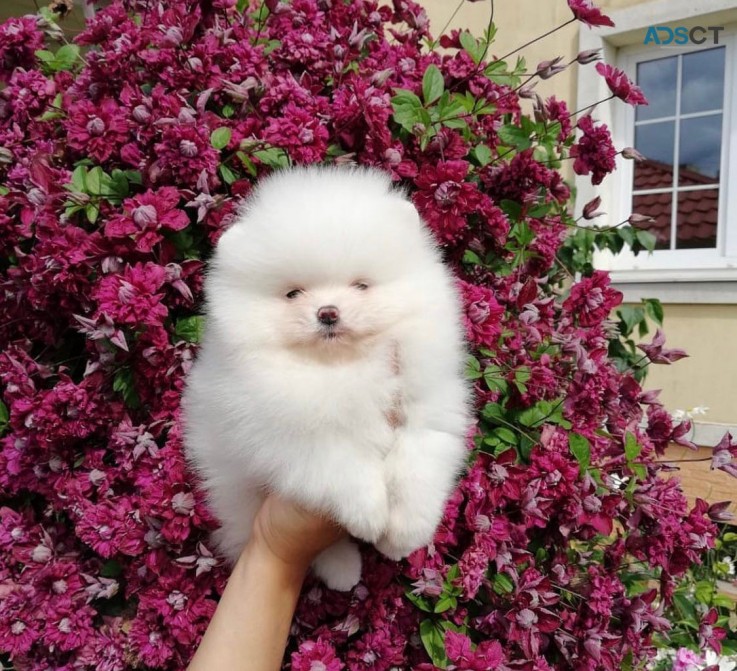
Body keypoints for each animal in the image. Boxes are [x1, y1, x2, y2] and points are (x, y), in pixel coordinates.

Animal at [181, 165, 468, 592]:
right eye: (292, 294)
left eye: (361, 286)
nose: (328, 312)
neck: (343, 367)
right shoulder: (285, 438)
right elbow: (341, 466)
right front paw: (370, 513)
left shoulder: (428, 403)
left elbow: (419, 461)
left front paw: (403, 534)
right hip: (235, 484)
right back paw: (342, 569)